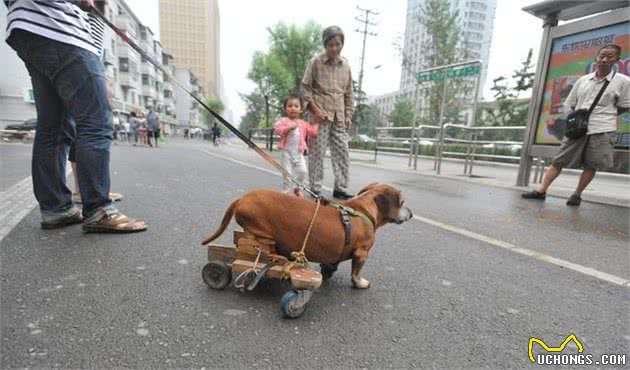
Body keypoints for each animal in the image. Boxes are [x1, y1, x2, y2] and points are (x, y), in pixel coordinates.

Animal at [200, 182, 412, 290]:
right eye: (402, 202)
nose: (411, 214)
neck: (362, 210)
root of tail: (241, 199)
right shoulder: (362, 253)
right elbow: (356, 272)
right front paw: (360, 283)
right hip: (261, 234)